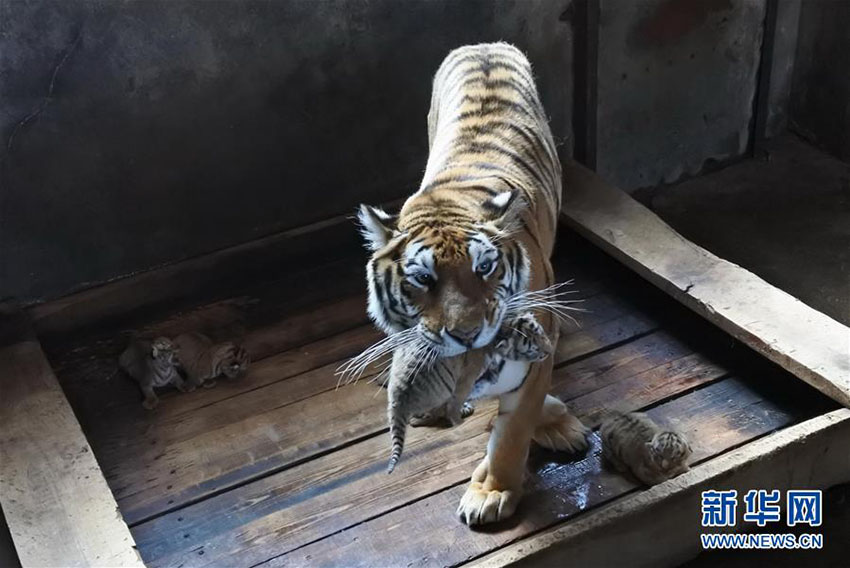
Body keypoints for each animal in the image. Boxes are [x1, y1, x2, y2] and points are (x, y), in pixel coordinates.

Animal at [354, 42, 588, 524]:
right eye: (422, 278)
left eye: (485, 268)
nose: (466, 335)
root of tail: (483, 46)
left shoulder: (535, 343)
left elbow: (513, 429)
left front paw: (493, 491)